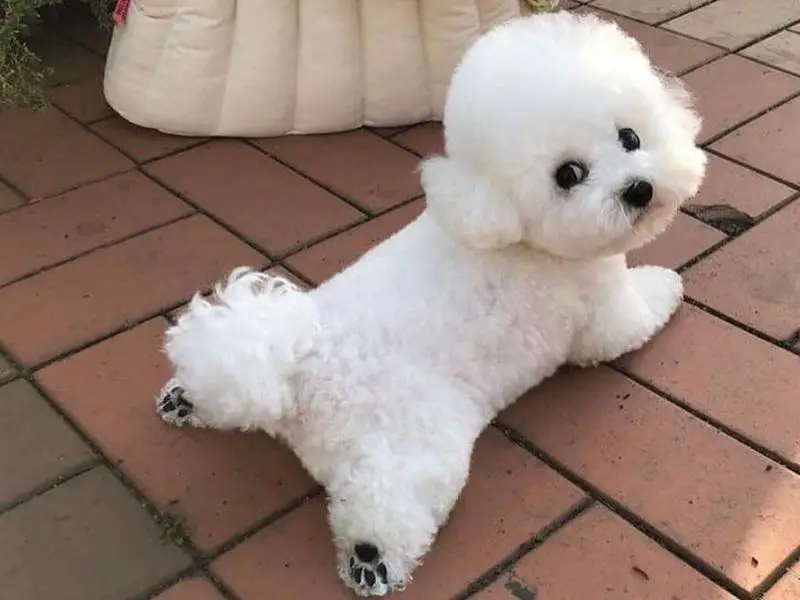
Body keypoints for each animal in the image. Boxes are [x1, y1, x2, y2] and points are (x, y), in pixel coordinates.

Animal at [156, 10, 708, 596]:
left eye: (630, 137)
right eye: (568, 175)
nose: (639, 189)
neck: (516, 235)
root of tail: (300, 359)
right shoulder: (601, 312)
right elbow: (636, 315)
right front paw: (667, 283)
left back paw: (184, 399)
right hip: (416, 440)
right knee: (389, 502)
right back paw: (371, 558)